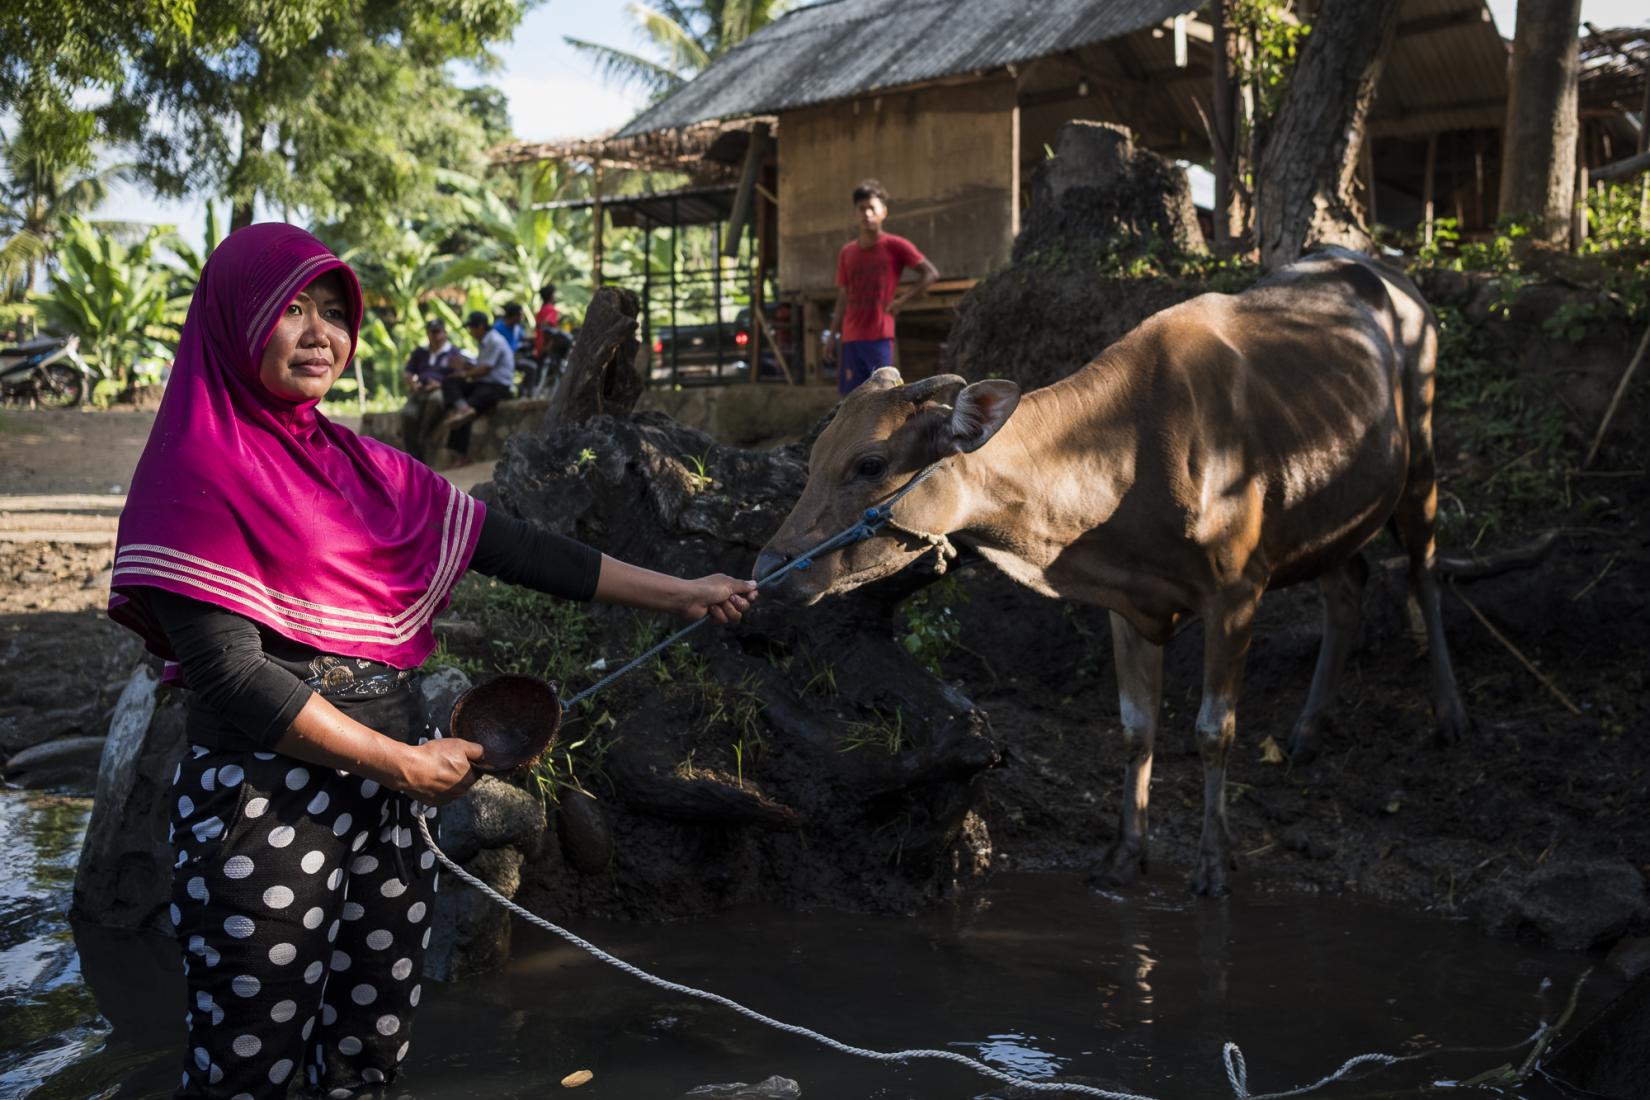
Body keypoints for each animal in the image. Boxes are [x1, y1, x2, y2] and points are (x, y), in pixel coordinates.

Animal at [755, 247, 1471, 897]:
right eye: (813, 456)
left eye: (870, 464)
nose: (768, 566)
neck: (1132, 458)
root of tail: (1384, 271)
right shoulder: (1127, 605)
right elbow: (1135, 728)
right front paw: (1125, 855)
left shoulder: (1237, 590)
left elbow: (1213, 731)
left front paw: (1214, 864)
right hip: (1332, 508)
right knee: (1348, 587)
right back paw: (1306, 732)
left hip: (1422, 460)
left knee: (1425, 571)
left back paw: (1449, 714)